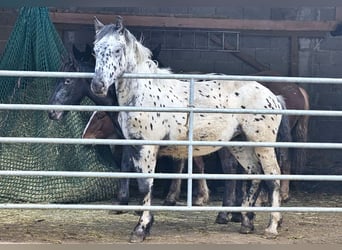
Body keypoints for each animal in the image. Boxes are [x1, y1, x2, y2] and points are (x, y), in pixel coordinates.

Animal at [90, 16, 284, 242]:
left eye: (117, 50)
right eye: (95, 50)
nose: (98, 85)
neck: (144, 92)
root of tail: (272, 96)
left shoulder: (147, 148)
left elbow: (145, 185)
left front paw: (140, 229)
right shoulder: (135, 147)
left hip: (263, 145)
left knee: (273, 177)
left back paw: (272, 226)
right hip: (240, 145)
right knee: (255, 174)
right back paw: (246, 222)